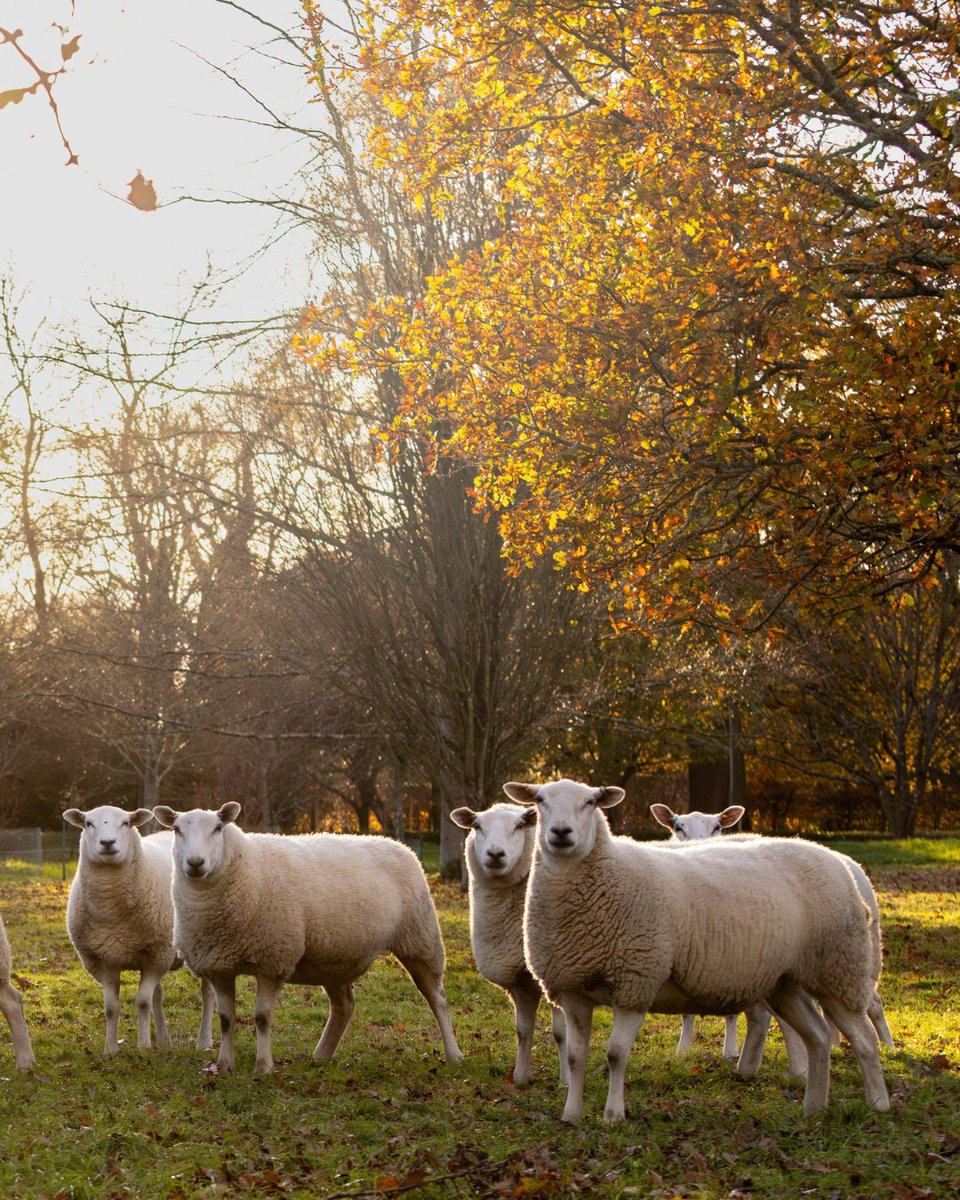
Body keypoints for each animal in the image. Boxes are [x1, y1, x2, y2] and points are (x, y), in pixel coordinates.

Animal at [63, 805, 215, 1054]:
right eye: (88, 823)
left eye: (126, 823)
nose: (107, 842)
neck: (111, 914)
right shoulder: (104, 961)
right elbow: (112, 1007)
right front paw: (110, 1050)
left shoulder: (158, 954)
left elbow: (142, 1002)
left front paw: (143, 1046)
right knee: (158, 996)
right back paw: (163, 1040)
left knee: (207, 993)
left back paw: (203, 1042)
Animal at [152, 803, 463, 1075]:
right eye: (177, 829)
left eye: (217, 828)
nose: (195, 863)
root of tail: (401, 846)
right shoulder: (219, 965)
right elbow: (226, 1019)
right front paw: (225, 1066)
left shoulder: (272, 959)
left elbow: (262, 1018)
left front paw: (263, 1067)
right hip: (334, 957)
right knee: (344, 1005)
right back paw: (322, 1055)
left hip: (420, 938)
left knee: (437, 998)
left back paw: (454, 1054)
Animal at [449, 803, 566, 1085]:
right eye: (477, 825)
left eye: (520, 826)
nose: (495, 853)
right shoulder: (518, 980)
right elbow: (523, 1029)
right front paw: (521, 1077)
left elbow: (560, 1032)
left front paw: (566, 1081)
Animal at [650, 803, 894, 1072]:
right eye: (678, 827)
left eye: (717, 827)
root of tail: (847, 862)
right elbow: (688, 1013)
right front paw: (683, 1050)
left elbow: (732, 1014)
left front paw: (730, 1052)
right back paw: (834, 1044)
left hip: (859, 957)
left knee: (874, 1003)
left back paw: (887, 1046)